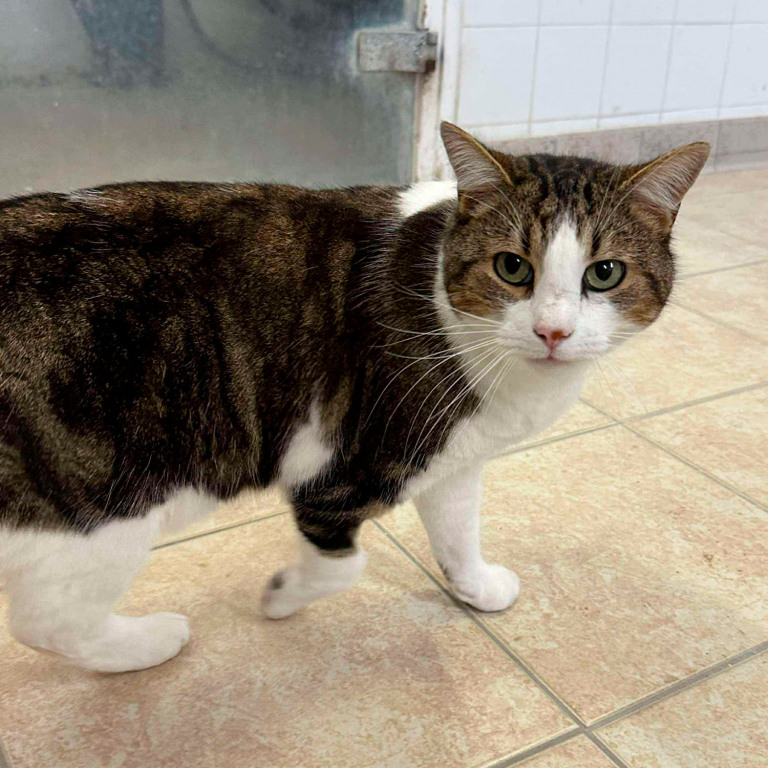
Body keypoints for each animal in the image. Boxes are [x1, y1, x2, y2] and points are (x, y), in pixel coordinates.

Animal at [0, 123, 709, 673]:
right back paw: (147, 643)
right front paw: (282, 595)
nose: (553, 332)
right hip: (102, 510)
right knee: (48, 622)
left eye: (604, 274)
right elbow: (346, 564)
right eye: (513, 267)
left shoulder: (454, 455)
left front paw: (476, 586)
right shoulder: (345, 468)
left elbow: (458, 528)